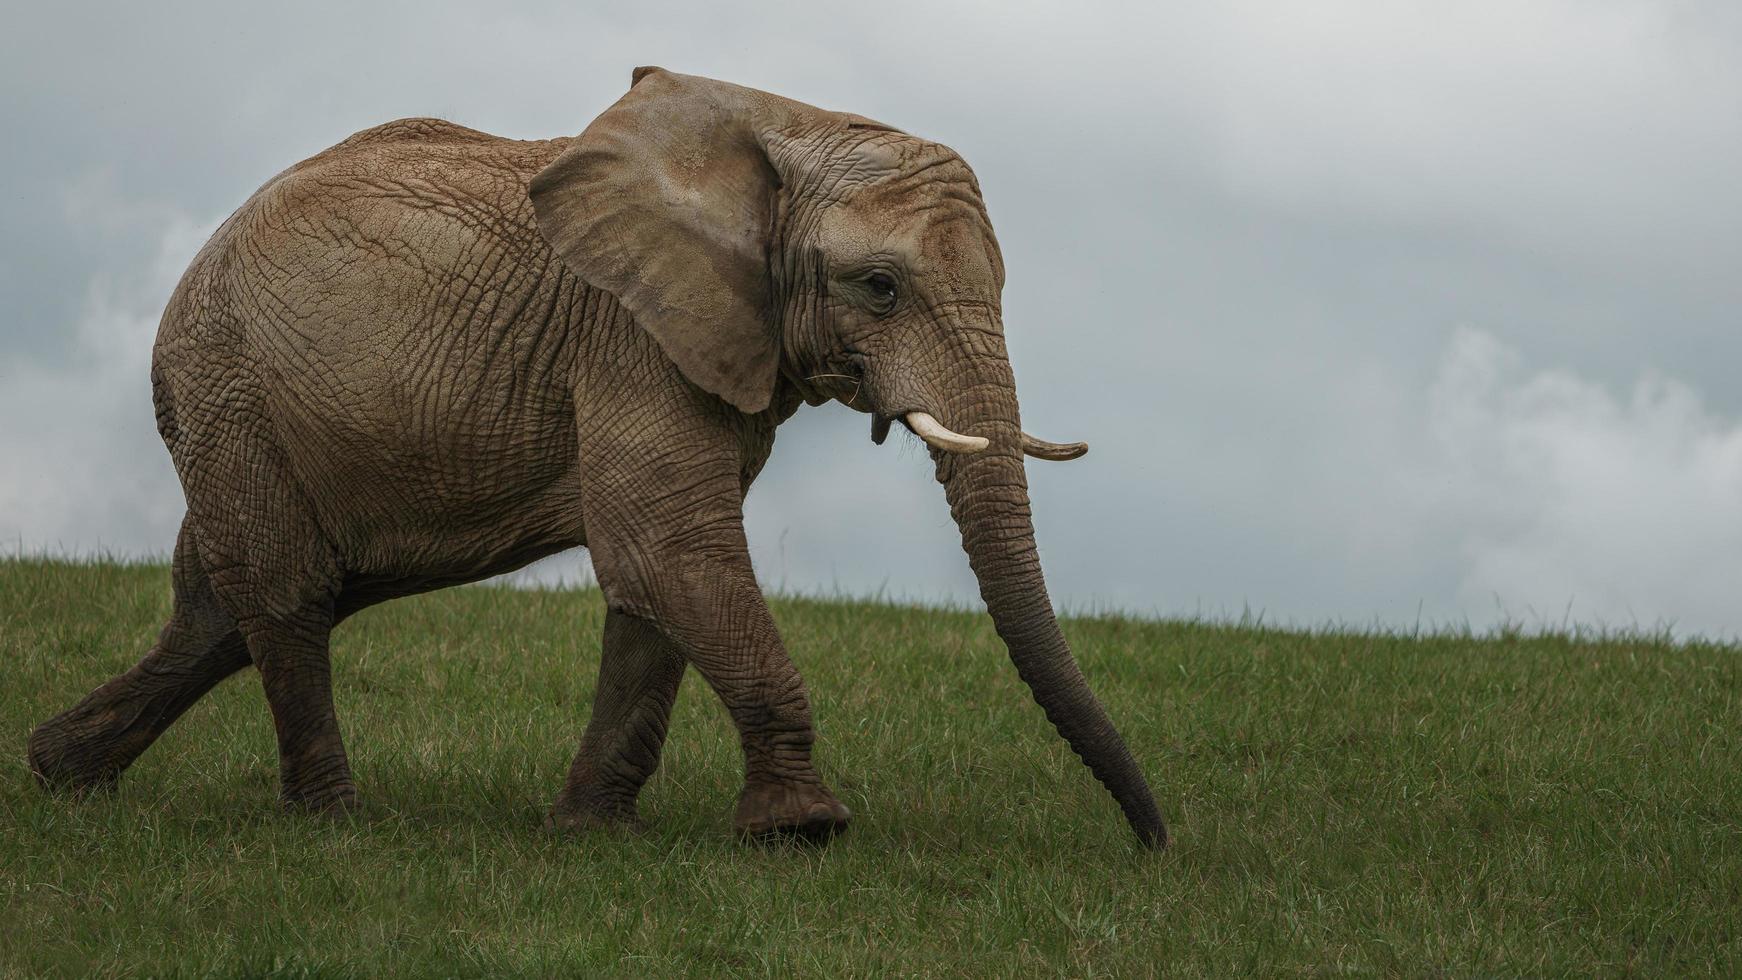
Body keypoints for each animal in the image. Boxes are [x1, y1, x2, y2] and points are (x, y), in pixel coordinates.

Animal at [27, 67, 1163, 852]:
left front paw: (590, 833)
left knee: (224, 604)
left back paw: (59, 775)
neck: (788, 126)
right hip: (227, 384)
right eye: (879, 288)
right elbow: (669, 544)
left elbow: (655, 573)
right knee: (284, 591)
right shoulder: (628, 333)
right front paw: (802, 833)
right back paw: (331, 823)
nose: (1151, 842)